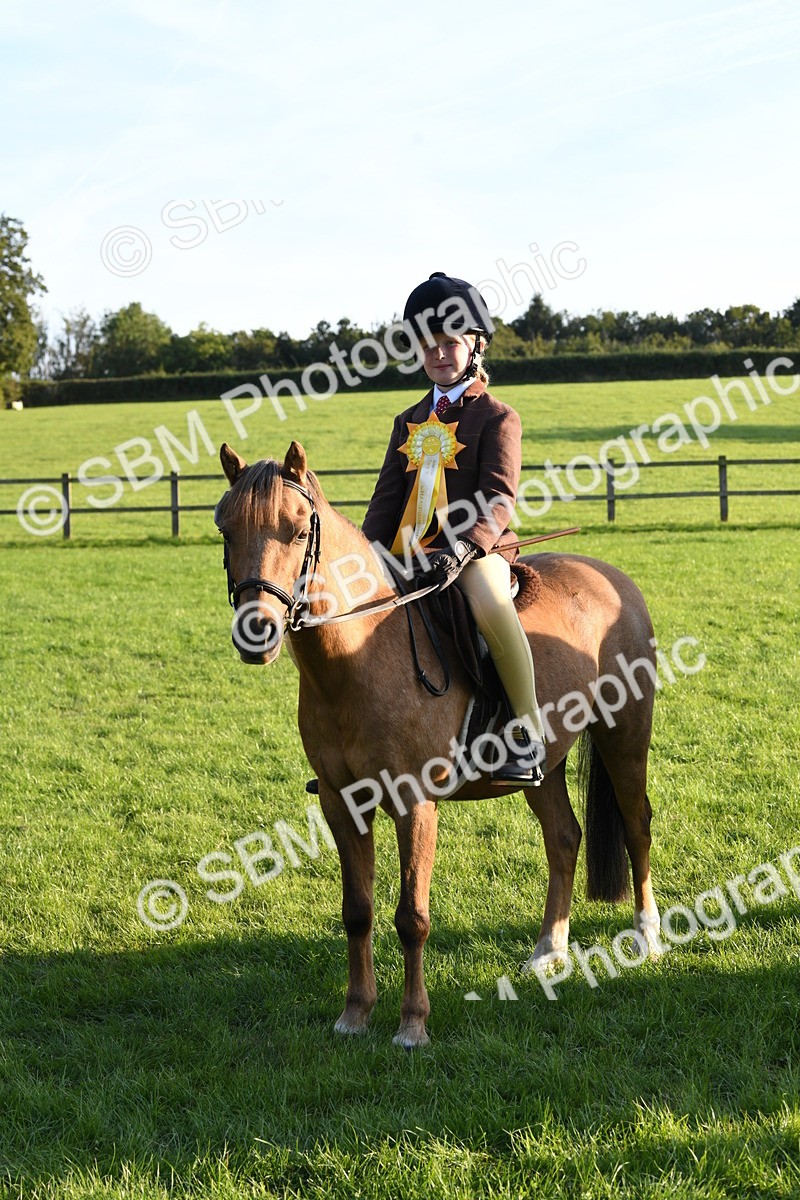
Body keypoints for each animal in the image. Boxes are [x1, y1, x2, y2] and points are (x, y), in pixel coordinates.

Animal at [214, 440, 663, 1049]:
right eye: (225, 530)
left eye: (298, 529)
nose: (256, 632)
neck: (358, 656)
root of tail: (611, 576)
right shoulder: (340, 802)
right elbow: (357, 910)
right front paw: (355, 1013)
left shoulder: (413, 803)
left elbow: (412, 917)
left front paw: (412, 1025)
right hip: (545, 764)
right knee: (564, 837)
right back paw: (547, 951)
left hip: (624, 736)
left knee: (637, 825)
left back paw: (647, 936)